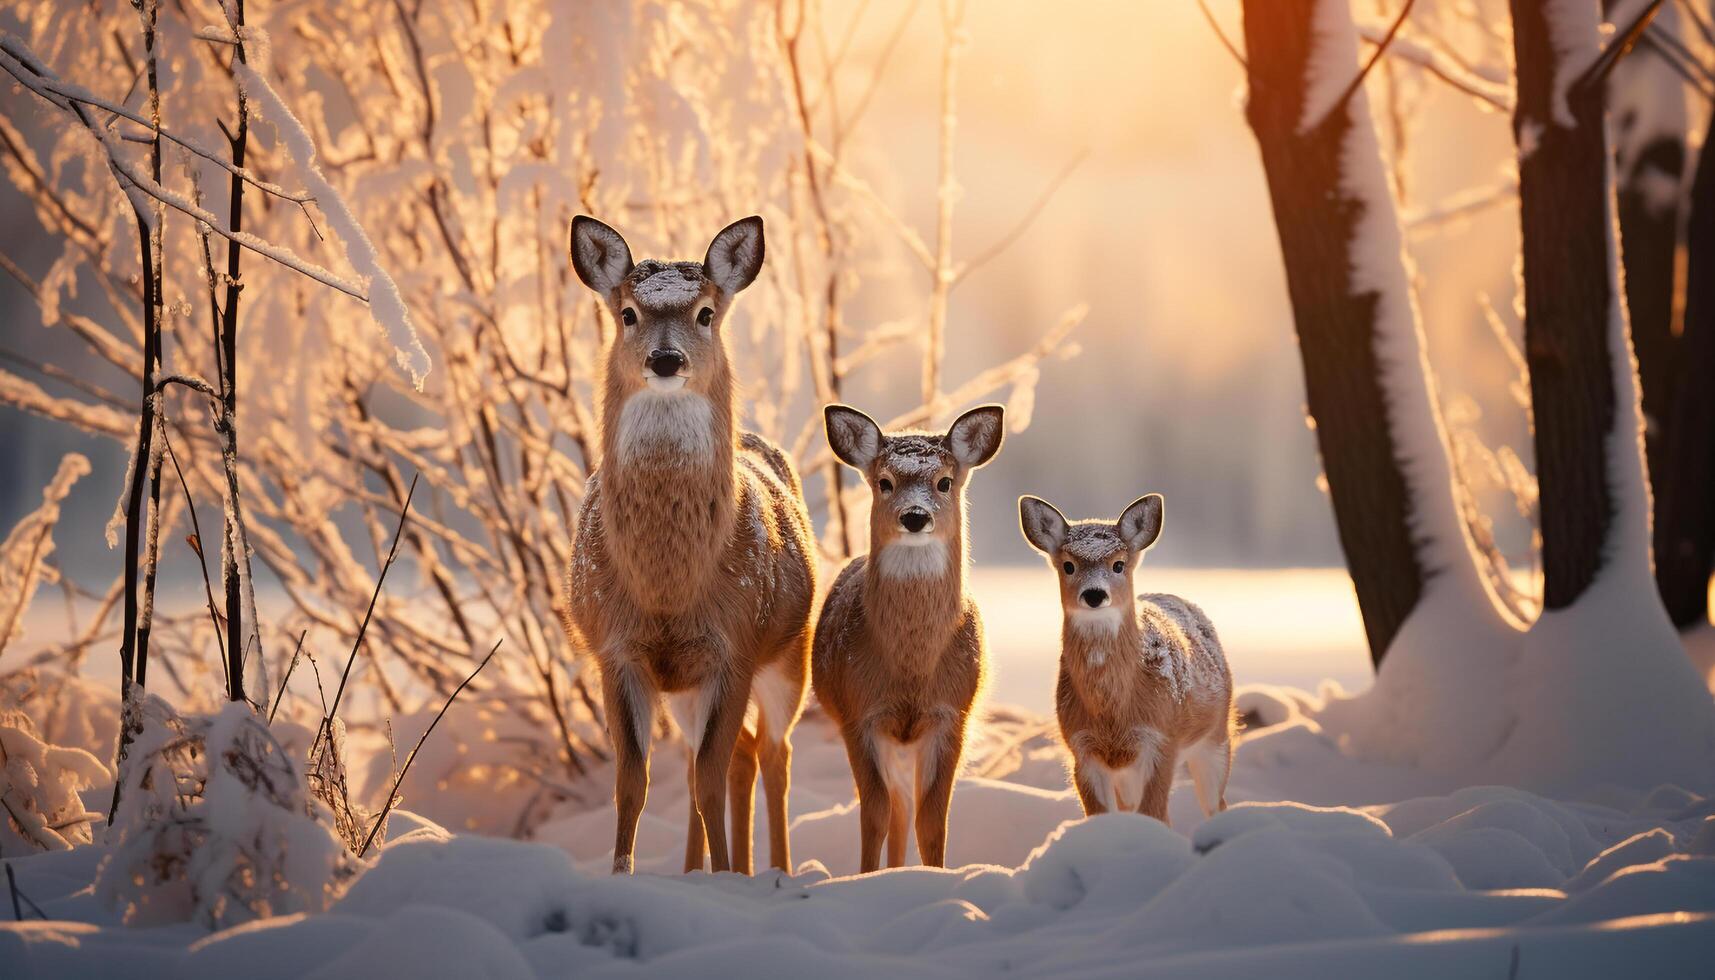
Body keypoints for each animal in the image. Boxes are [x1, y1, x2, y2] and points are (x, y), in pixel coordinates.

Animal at [562, 214, 816, 875]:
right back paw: (700, 869)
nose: (666, 358)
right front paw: (622, 872)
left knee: (774, 752)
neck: (668, 588)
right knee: (744, 753)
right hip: (683, 687)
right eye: (627, 313)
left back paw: (772, 869)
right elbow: (633, 781)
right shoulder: (617, 650)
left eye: (706, 312)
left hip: (789, 657)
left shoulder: (736, 645)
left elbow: (705, 780)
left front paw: (726, 878)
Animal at [812, 403, 1001, 878]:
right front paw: (867, 879)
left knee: (904, 809)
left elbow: (932, 820)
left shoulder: (951, 715)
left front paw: (934, 877)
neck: (911, 667)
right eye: (884, 482)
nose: (915, 516)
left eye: (944, 481)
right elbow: (874, 814)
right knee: (894, 809)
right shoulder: (859, 714)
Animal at [1015, 494, 1234, 823]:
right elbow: (1099, 815)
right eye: (1068, 565)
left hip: (1217, 737)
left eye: (1118, 564)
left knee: (1215, 804)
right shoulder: (1081, 747)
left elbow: (1155, 813)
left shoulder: (1161, 739)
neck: (1112, 714)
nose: (1094, 594)